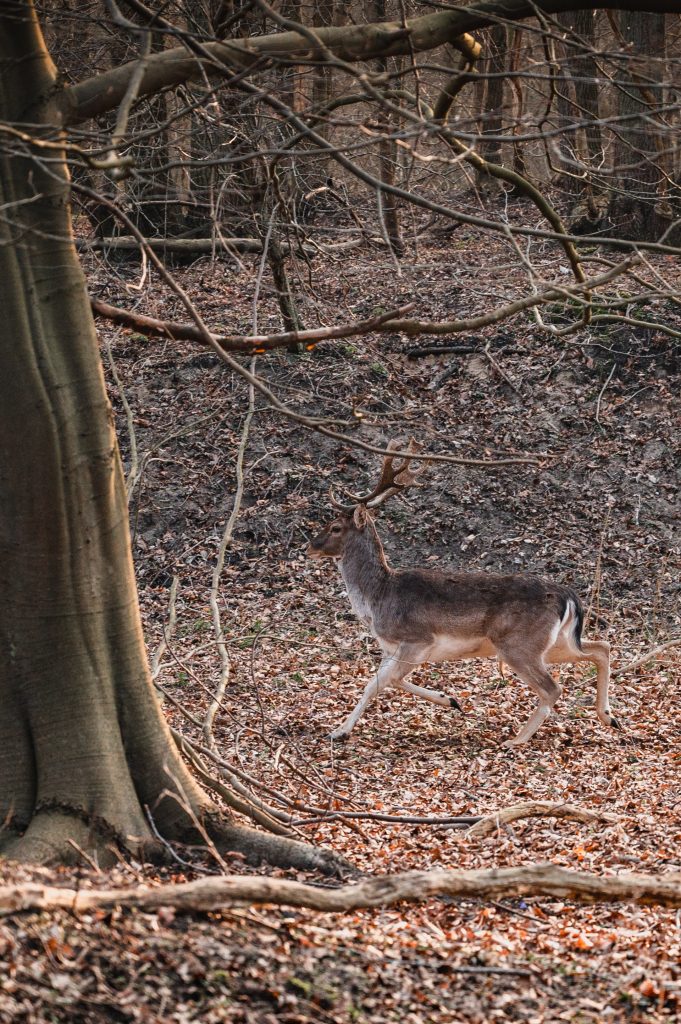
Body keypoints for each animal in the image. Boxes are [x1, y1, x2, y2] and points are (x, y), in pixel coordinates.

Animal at [307, 438, 614, 745]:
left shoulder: (417, 639)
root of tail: (568, 597)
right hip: (554, 643)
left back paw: (515, 740)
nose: (309, 546)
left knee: (553, 687)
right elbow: (373, 684)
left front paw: (450, 700)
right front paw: (338, 731)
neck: (377, 598)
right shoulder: (390, 648)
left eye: (335, 527)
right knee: (601, 647)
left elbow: (387, 681)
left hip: (518, 644)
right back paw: (609, 717)